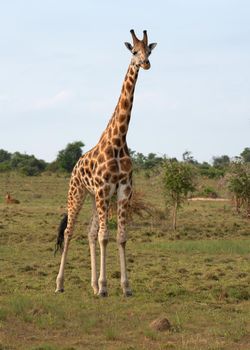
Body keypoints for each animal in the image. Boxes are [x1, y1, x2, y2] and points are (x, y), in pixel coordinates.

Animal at [55, 29, 156, 296]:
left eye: (149, 51)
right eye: (134, 51)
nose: (146, 63)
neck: (119, 140)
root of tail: (75, 166)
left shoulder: (122, 191)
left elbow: (120, 236)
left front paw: (125, 287)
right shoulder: (103, 190)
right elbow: (105, 236)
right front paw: (103, 287)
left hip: (93, 198)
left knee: (89, 232)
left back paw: (90, 284)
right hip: (78, 193)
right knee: (69, 231)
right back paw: (60, 284)